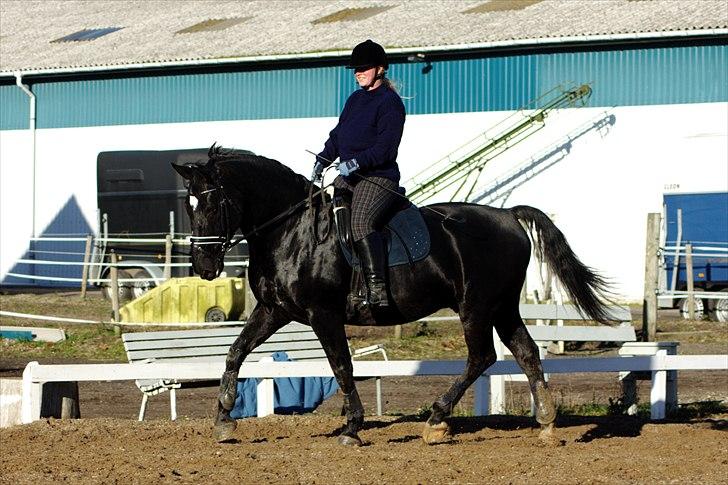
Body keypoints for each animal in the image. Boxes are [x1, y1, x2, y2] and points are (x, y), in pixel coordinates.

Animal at [172, 146, 616, 444]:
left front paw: (352, 426)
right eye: (189, 205)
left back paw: (437, 419)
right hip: (502, 306)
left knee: (482, 357)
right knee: (525, 352)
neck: (291, 231)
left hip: (475, 306)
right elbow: (235, 352)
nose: (204, 266)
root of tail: (507, 215)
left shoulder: (322, 313)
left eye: (213, 202)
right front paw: (224, 419)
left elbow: (342, 366)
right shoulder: (273, 310)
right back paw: (547, 423)